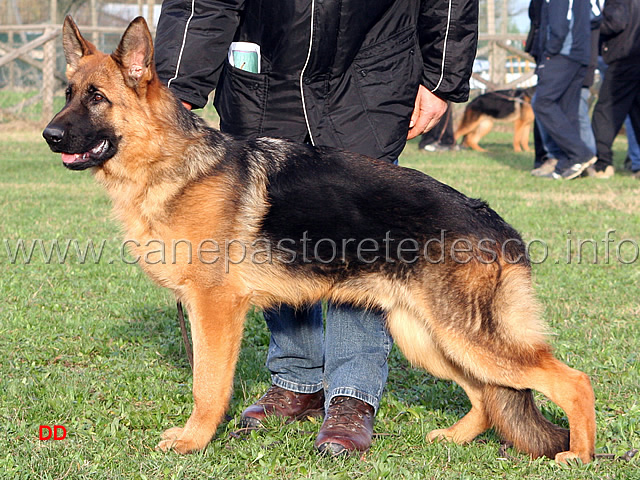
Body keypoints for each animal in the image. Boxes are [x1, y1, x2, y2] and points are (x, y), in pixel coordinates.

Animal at [43, 18, 596, 464]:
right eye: (68, 93)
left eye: (97, 98)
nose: (50, 135)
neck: (170, 162)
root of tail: (495, 223)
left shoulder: (215, 309)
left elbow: (208, 386)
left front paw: (193, 440)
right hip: (428, 338)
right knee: (487, 396)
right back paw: (454, 439)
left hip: (466, 338)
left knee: (572, 381)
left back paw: (579, 456)